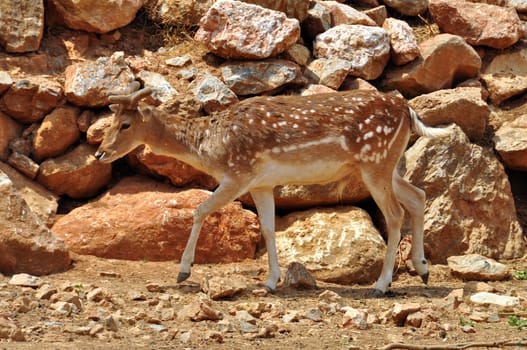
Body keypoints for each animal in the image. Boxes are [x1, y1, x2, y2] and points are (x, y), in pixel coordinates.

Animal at [95, 83, 450, 296]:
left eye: (125, 124)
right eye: (110, 123)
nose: (99, 152)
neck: (210, 149)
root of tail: (409, 111)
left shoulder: (238, 173)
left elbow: (200, 210)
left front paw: (183, 271)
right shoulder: (262, 183)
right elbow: (267, 227)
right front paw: (270, 282)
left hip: (375, 162)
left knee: (395, 214)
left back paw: (381, 284)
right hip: (384, 166)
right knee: (418, 196)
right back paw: (423, 269)